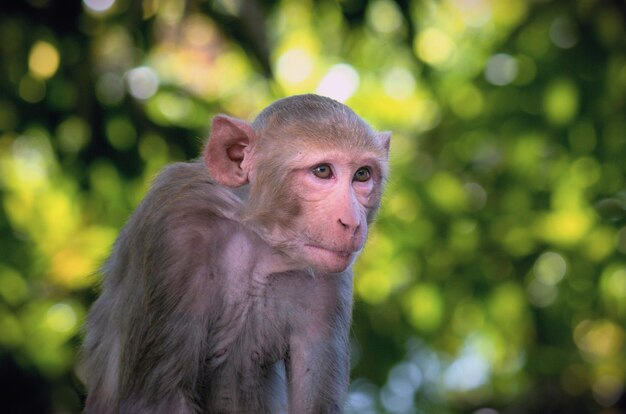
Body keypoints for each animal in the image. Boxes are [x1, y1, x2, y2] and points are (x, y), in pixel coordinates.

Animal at [80, 94, 388, 414]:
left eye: (362, 175)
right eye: (322, 171)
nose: (352, 222)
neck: (256, 236)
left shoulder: (329, 283)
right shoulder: (174, 233)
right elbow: (158, 399)